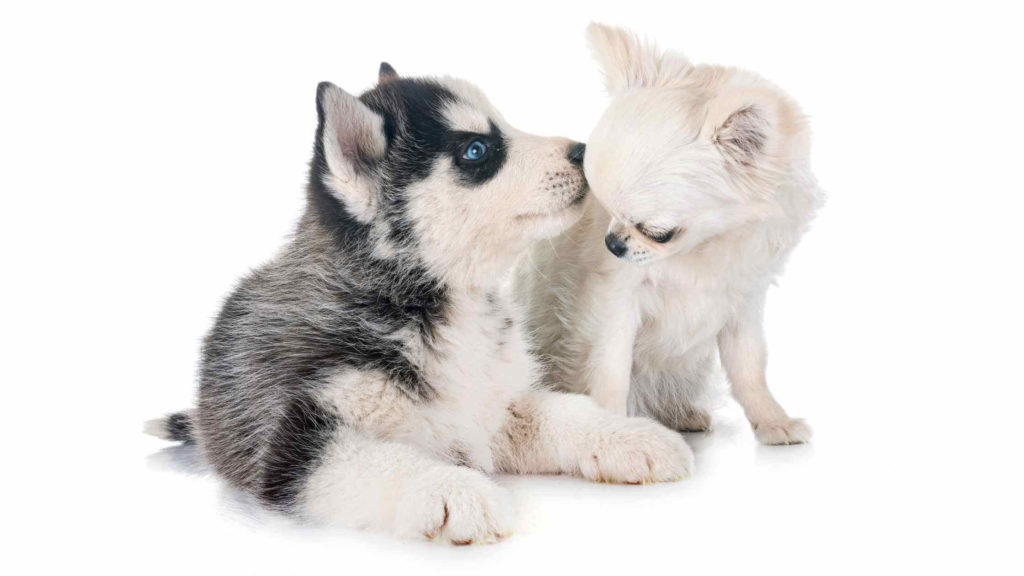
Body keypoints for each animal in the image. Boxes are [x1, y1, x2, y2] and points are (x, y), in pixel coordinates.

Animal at [144, 63, 692, 541]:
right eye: (476, 149)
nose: (583, 151)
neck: (444, 303)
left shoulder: (493, 407)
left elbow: (565, 411)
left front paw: (630, 436)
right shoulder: (296, 444)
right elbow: (382, 460)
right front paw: (455, 491)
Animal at [520, 23, 823, 444]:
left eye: (656, 232)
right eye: (600, 208)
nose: (611, 243)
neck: (703, 249)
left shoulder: (743, 301)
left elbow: (749, 365)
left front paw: (772, 420)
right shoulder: (614, 299)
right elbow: (610, 367)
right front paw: (617, 429)